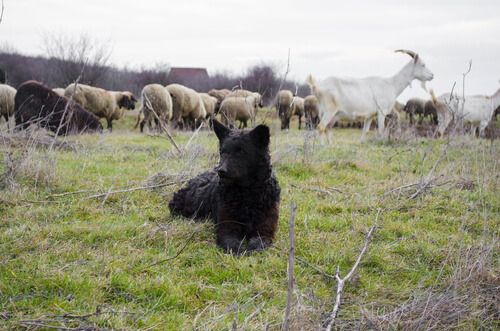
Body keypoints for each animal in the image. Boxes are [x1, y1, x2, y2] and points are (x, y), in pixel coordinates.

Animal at [169, 120, 282, 255]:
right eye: (222, 152)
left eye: (241, 151)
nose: (221, 171)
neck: (247, 193)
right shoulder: (227, 228)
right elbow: (232, 244)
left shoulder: (265, 230)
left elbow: (258, 243)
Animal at [304, 49, 434, 143]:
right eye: (423, 64)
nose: (432, 75)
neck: (391, 84)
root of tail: (318, 87)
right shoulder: (381, 111)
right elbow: (381, 129)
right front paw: (382, 142)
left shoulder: (370, 115)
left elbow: (365, 131)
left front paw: (360, 143)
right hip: (329, 110)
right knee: (321, 127)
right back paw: (322, 146)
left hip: (324, 112)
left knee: (326, 128)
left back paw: (330, 145)